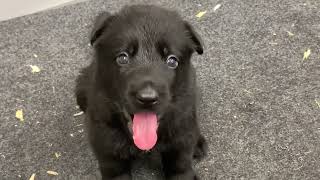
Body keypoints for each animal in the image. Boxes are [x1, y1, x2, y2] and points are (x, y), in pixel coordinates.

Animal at [76, 4, 209, 179]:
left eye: (172, 60)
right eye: (122, 58)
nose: (147, 98)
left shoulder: (180, 144)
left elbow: (181, 166)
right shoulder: (107, 147)